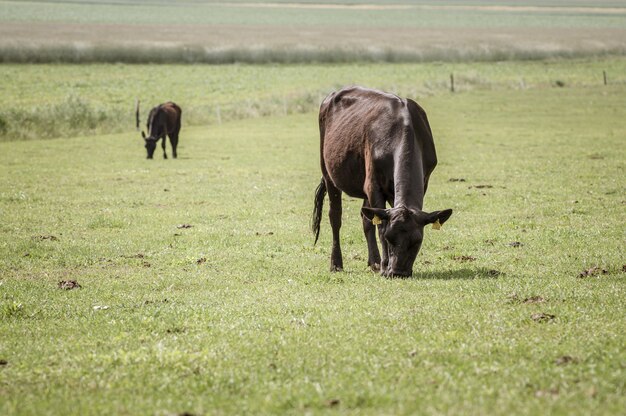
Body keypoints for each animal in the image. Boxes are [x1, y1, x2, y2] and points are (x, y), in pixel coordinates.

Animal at [310, 86, 448, 278]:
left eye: (417, 241)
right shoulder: (373, 185)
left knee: (366, 217)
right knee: (335, 216)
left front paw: (382, 265)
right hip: (328, 171)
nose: (398, 272)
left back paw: (373, 262)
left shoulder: (423, 181)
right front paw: (384, 266)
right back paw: (336, 264)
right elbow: (380, 226)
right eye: (390, 238)